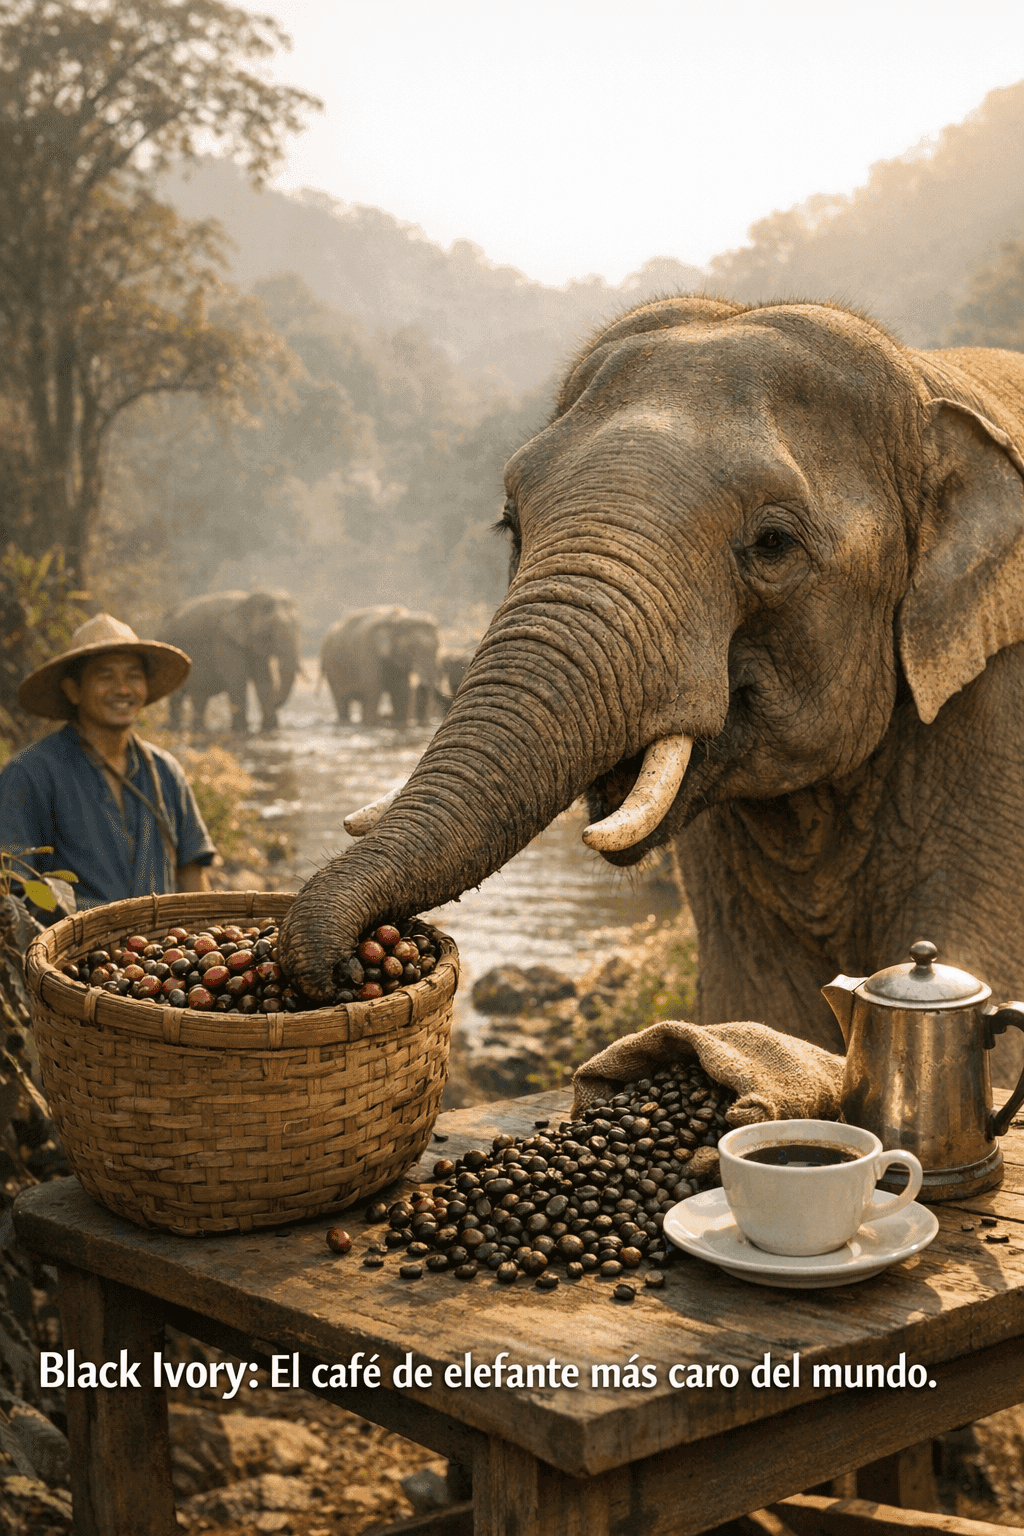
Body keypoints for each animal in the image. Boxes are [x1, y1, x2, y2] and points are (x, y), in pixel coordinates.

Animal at [158, 590, 301, 732]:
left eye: (298, 626)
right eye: (270, 632)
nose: (275, 702)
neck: (247, 599)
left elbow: (264, 679)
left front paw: (270, 729)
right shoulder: (224, 640)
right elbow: (238, 680)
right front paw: (242, 731)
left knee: (200, 697)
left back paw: (198, 730)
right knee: (178, 696)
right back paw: (173, 729)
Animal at [280, 295, 1024, 1088]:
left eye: (773, 543)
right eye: (511, 525)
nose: (343, 970)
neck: (923, 388)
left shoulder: (997, 717)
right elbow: (760, 1003)